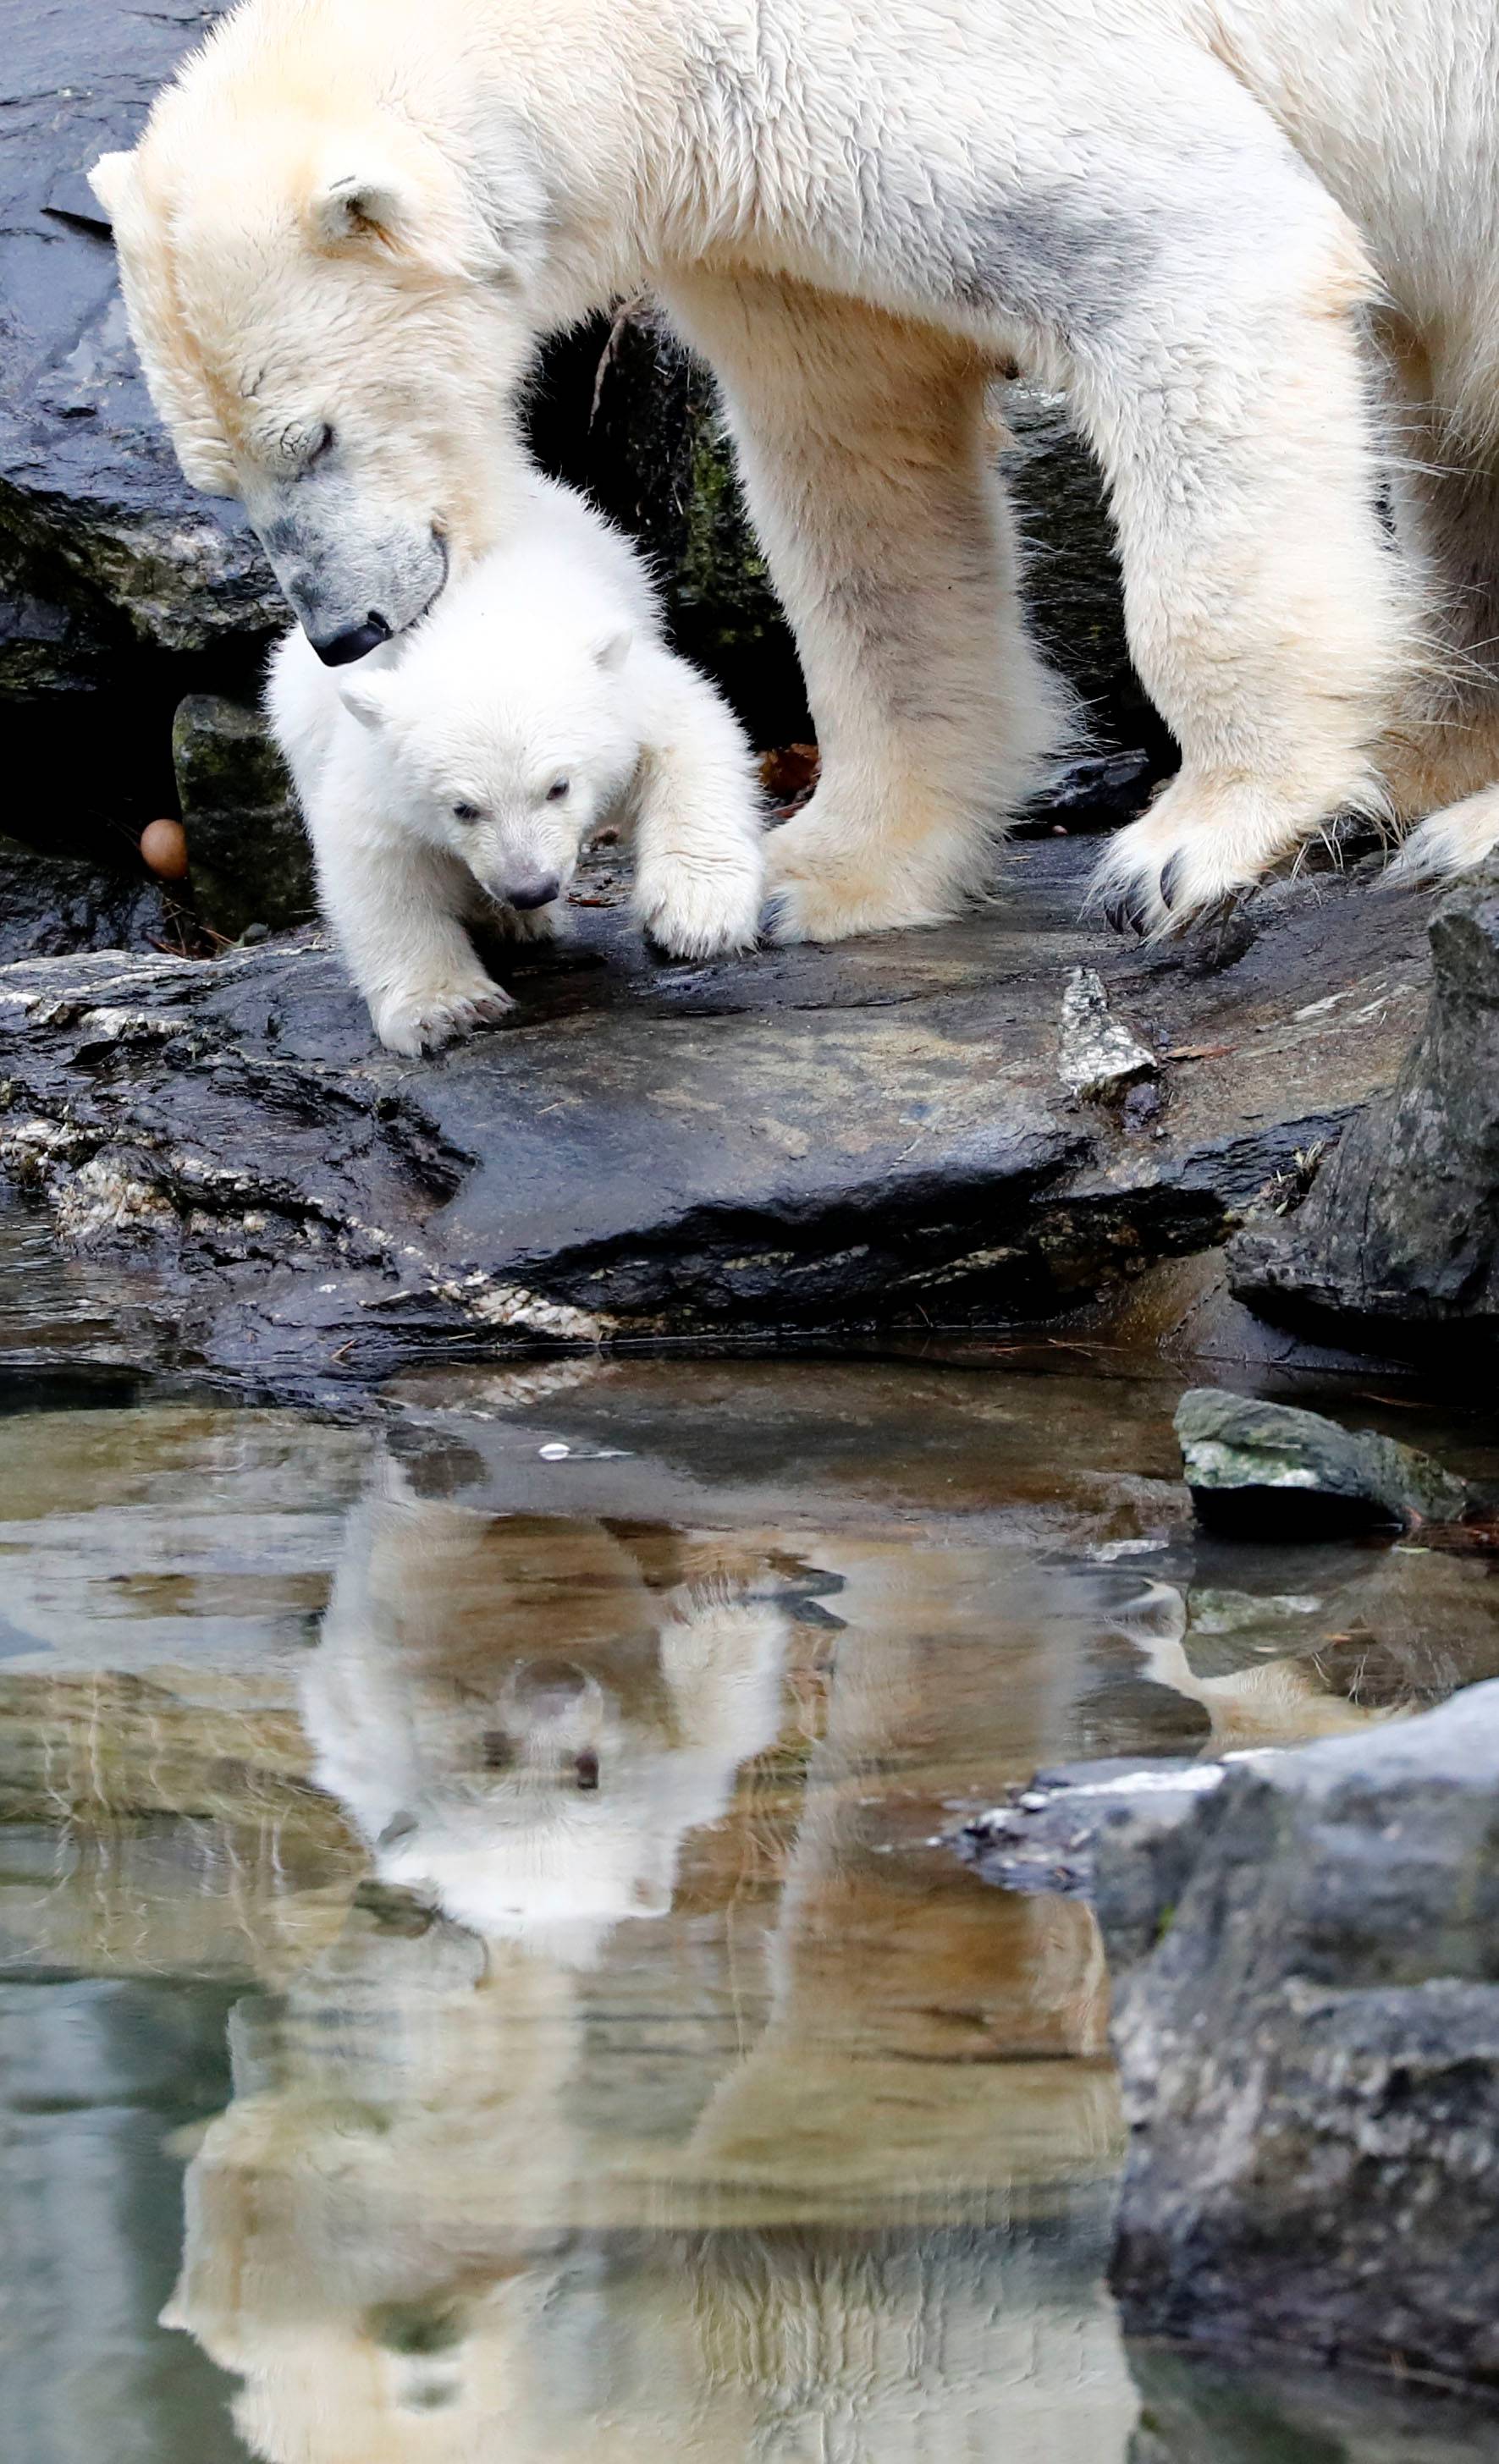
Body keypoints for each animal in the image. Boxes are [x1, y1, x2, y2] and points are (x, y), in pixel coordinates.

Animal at [91, 0, 1499, 936]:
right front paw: (819, 872)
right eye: (213, 478)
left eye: (313, 435)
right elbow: (860, 465)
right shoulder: (768, 209)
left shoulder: (951, 69)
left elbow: (1189, 262)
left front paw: (1190, 844)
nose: (344, 629)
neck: (636, 40)